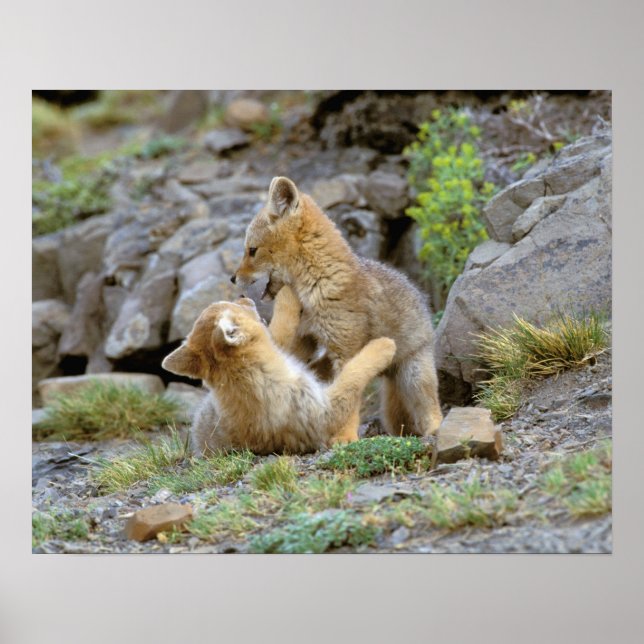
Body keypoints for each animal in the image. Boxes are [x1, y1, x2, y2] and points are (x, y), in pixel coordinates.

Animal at [161, 287, 396, 455]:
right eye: (231, 306)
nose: (243, 295)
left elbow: (285, 335)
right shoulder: (322, 412)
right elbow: (352, 375)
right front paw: (384, 346)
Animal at [231, 176, 443, 440]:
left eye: (252, 250)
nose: (232, 278)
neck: (317, 285)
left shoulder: (346, 351)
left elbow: (350, 392)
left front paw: (345, 438)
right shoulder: (304, 340)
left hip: (414, 377)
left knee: (432, 408)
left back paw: (434, 430)